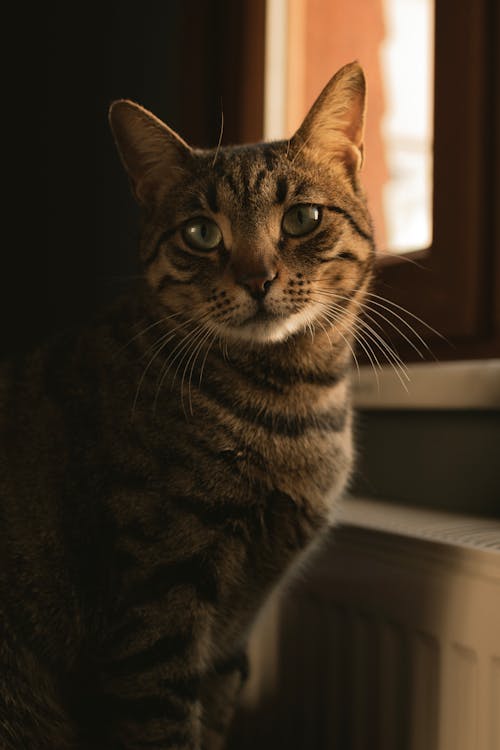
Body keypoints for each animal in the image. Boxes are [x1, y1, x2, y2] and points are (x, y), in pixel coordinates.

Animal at [0, 61, 374, 748]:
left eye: (302, 218)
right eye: (202, 233)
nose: (257, 279)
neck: (294, 402)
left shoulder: (233, 633)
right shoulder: (157, 606)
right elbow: (166, 723)